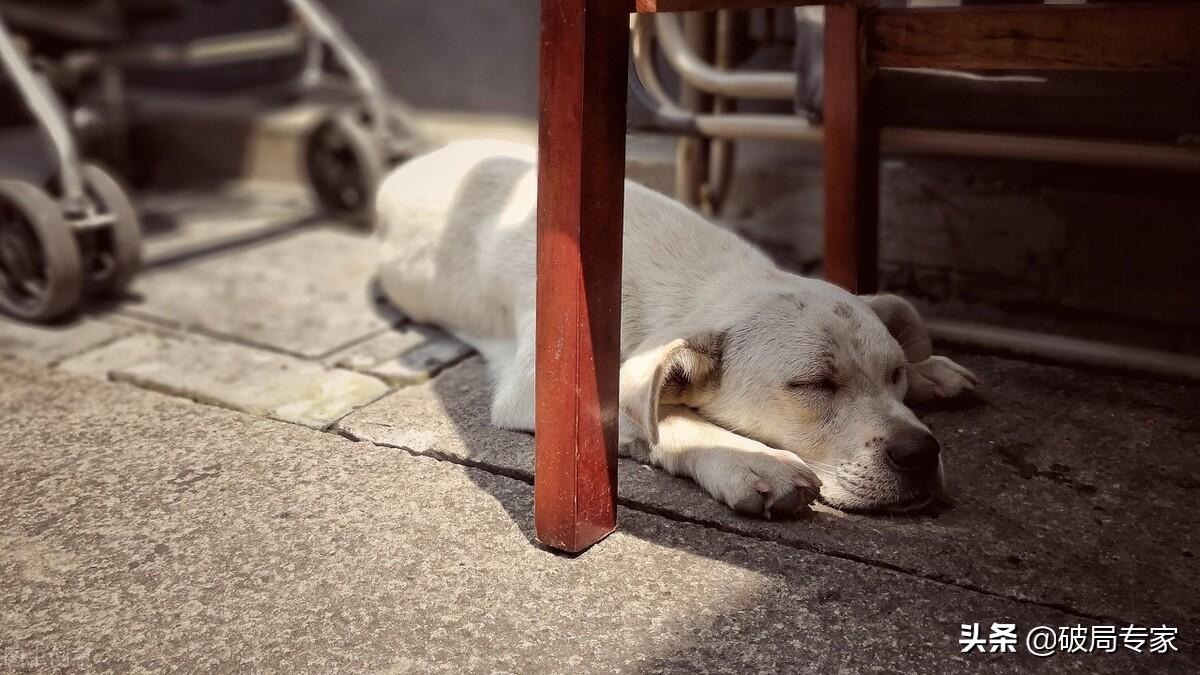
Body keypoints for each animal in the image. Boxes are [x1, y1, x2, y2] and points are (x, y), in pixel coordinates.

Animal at [379, 138, 979, 514]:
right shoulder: (542, 390)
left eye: (893, 374)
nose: (922, 454)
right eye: (814, 385)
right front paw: (750, 461)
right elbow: (653, 412)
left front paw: (928, 370)